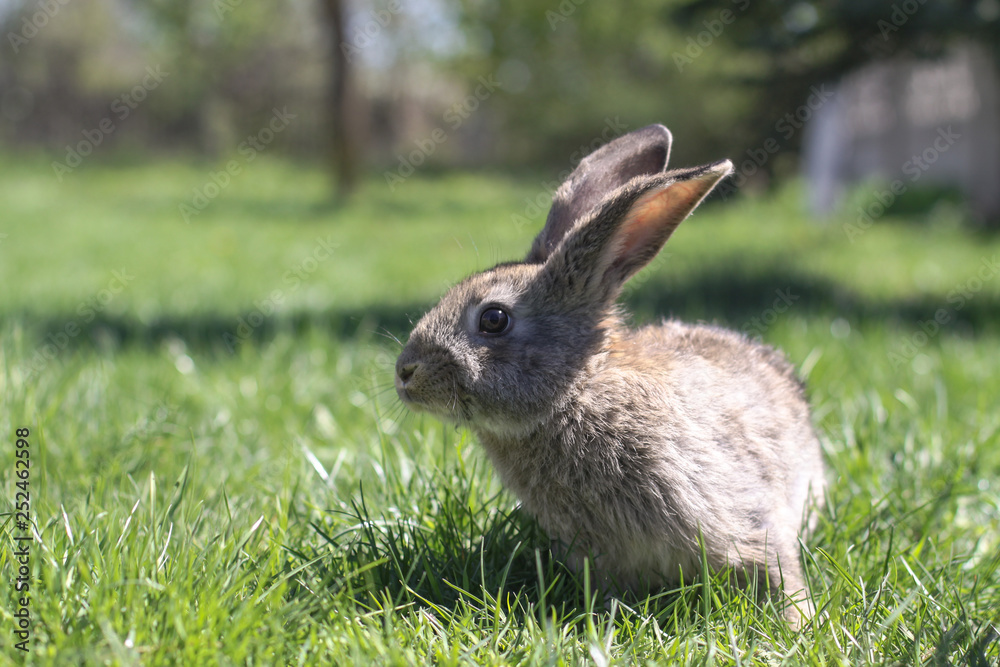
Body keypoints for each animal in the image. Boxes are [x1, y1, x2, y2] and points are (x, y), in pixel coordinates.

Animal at [394, 124, 826, 625]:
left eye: (494, 319)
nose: (405, 372)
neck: (578, 391)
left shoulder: (749, 515)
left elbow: (776, 567)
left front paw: (798, 623)